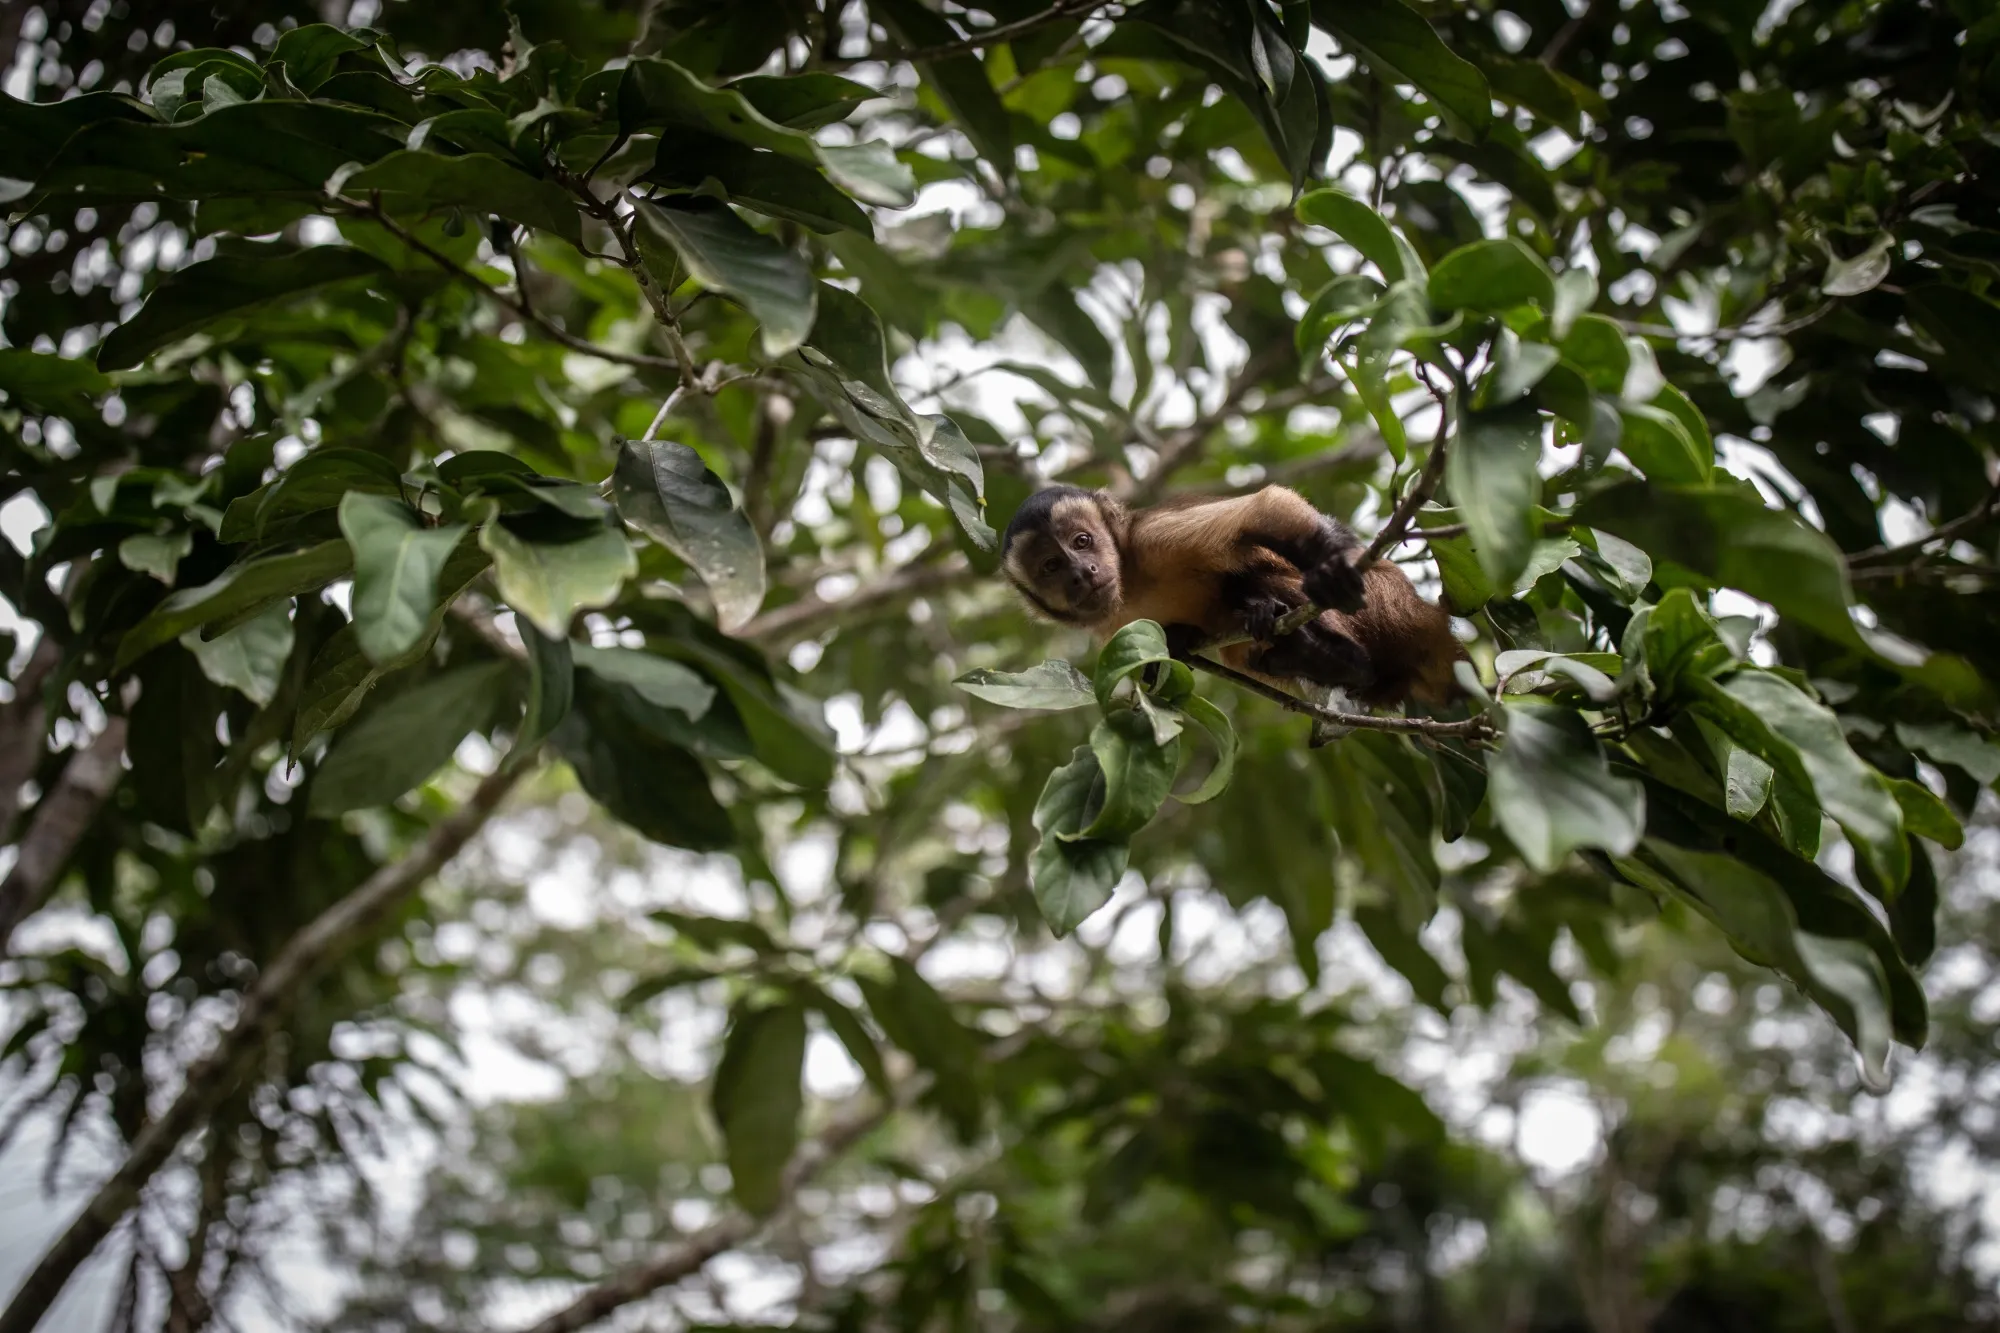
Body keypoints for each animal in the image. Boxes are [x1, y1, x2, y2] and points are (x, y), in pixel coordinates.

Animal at [1000, 484, 1461, 708]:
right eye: (1051, 567)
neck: (1129, 582)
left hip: (1387, 602)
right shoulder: (1107, 623)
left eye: (1082, 541)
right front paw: (1173, 647)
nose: (1081, 573)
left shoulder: (1154, 539)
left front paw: (1334, 561)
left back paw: (1344, 657)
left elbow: (1266, 509)